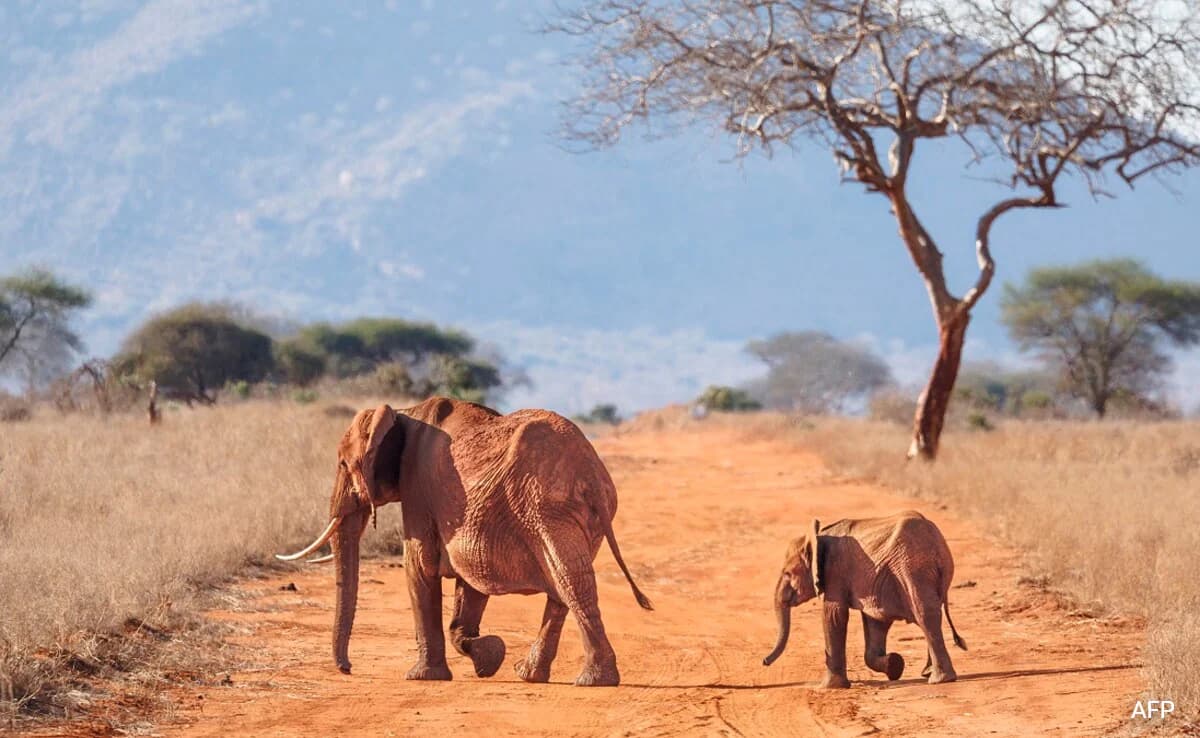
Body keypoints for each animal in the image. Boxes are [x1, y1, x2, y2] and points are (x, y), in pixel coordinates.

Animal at [278, 397, 653, 687]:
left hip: (546, 507)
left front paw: (422, 677)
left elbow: (419, 567)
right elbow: (470, 580)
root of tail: (590, 472)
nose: (348, 669)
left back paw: (593, 681)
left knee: (570, 582)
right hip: (573, 515)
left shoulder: (418, 488)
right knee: (564, 586)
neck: (402, 412)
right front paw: (489, 657)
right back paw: (530, 674)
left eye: (343, 463)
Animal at [762, 511, 966, 688]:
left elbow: (834, 614)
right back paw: (928, 673)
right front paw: (894, 665)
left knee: (925, 614)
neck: (817, 537)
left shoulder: (835, 570)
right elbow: (875, 621)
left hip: (913, 569)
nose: (764, 661)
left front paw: (829, 687)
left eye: (787, 573)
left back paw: (939, 679)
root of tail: (936, 542)